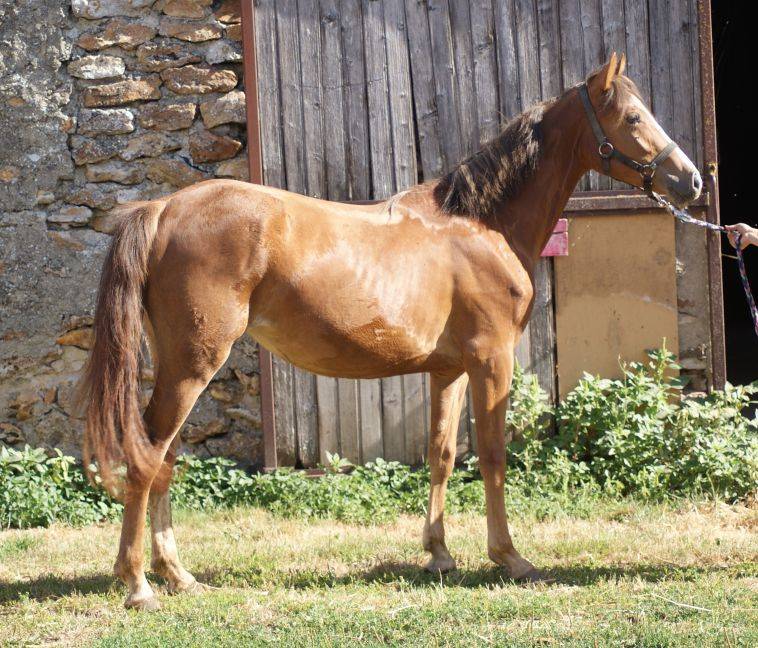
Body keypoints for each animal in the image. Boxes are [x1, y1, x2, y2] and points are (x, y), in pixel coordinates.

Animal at [78, 53, 702, 610]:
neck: (482, 223)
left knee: (163, 459)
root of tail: (162, 209)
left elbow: (441, 453)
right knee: (145, 460)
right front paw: (509, 557)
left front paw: (439, 554)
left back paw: (177, 575)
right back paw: (139, 585)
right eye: (633, 117)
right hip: (192, 367)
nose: (692, 181)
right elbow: (494, 455)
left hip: (181, 368)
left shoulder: (450, 369)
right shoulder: (491, 360)